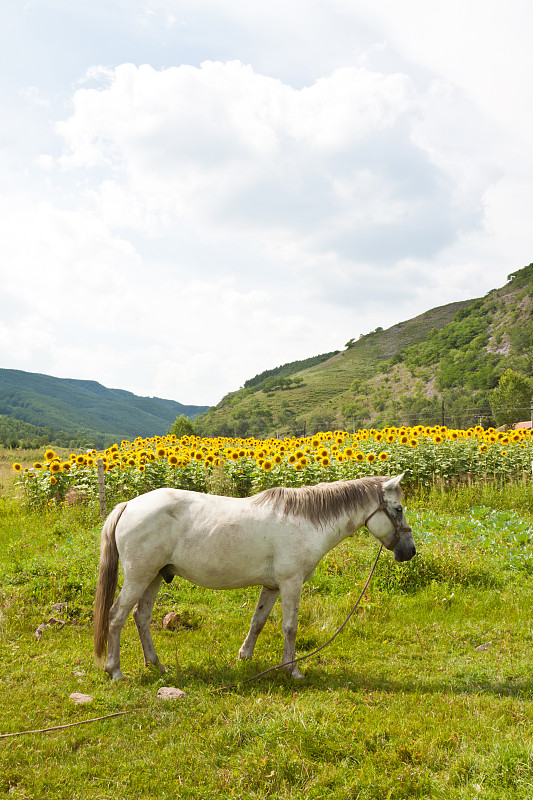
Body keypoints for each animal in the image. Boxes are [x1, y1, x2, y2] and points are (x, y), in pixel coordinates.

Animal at [93, 476, 414, 680]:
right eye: (398, 509)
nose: (409, 551)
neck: (306, 520)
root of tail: (128, 505)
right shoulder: (291, 583)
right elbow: (290, 627)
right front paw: (292, 669)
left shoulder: (272, 586)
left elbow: (258, 622)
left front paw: (244, 658)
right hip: (139, 577)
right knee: (116, 616)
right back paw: (115, 671)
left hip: (155, 577)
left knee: (142, 617)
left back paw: (157, 665)